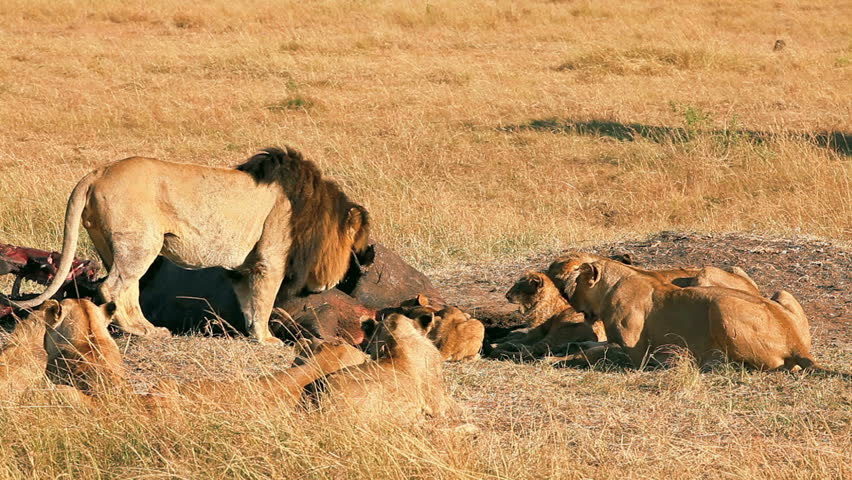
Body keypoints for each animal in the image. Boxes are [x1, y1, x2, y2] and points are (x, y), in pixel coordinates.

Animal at [16, 147, 370, 344]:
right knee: (113, 287)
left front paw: (251, 331)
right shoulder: (270, 259)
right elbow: (265, 300)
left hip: (113, 244)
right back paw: (140, 331)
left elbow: (248, 302)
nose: (343, 278)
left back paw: (147, 328)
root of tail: (98, 172)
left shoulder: (242, 269)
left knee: (126, 288)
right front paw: (266, 338)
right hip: (141, 242)